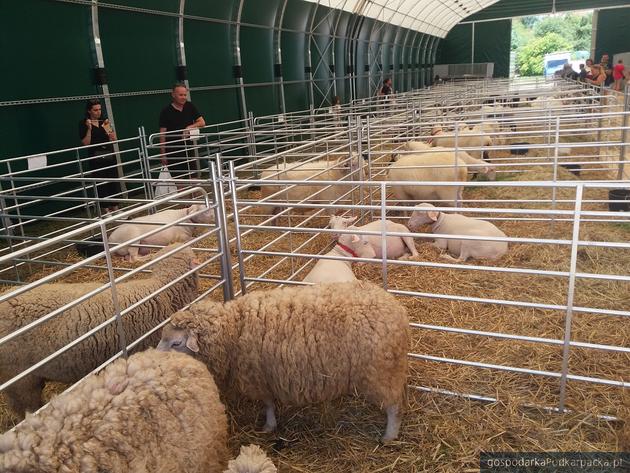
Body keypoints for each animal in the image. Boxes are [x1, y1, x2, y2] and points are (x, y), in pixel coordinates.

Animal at [158, 278, 412, 440]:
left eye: (176, 343)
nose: (156, 362)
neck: (234, 328)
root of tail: (397, 309)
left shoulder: (259, 375)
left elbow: (268, 405)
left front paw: (268, 426)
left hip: (379, 373)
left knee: (395, 407)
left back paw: (389, 436)